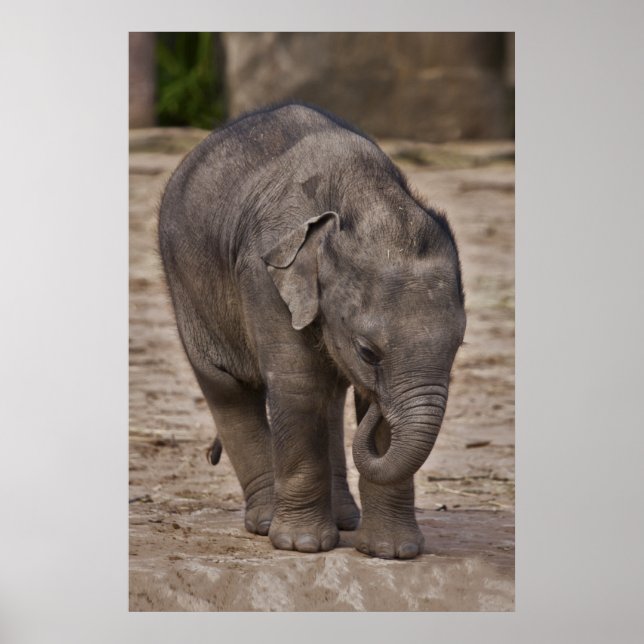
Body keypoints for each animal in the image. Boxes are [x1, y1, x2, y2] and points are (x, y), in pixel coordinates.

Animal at [158, 103, 466, 559]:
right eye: (368, 352)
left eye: (459, 346)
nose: (374, 389)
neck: (362, 198)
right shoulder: (263, 277)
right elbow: (298, 386)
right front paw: (301, 546)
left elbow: (377, 417)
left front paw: (391, 553)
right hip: (185, 286)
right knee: (227, 387)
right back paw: (266, 523)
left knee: (330, 399)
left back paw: (344, 521)